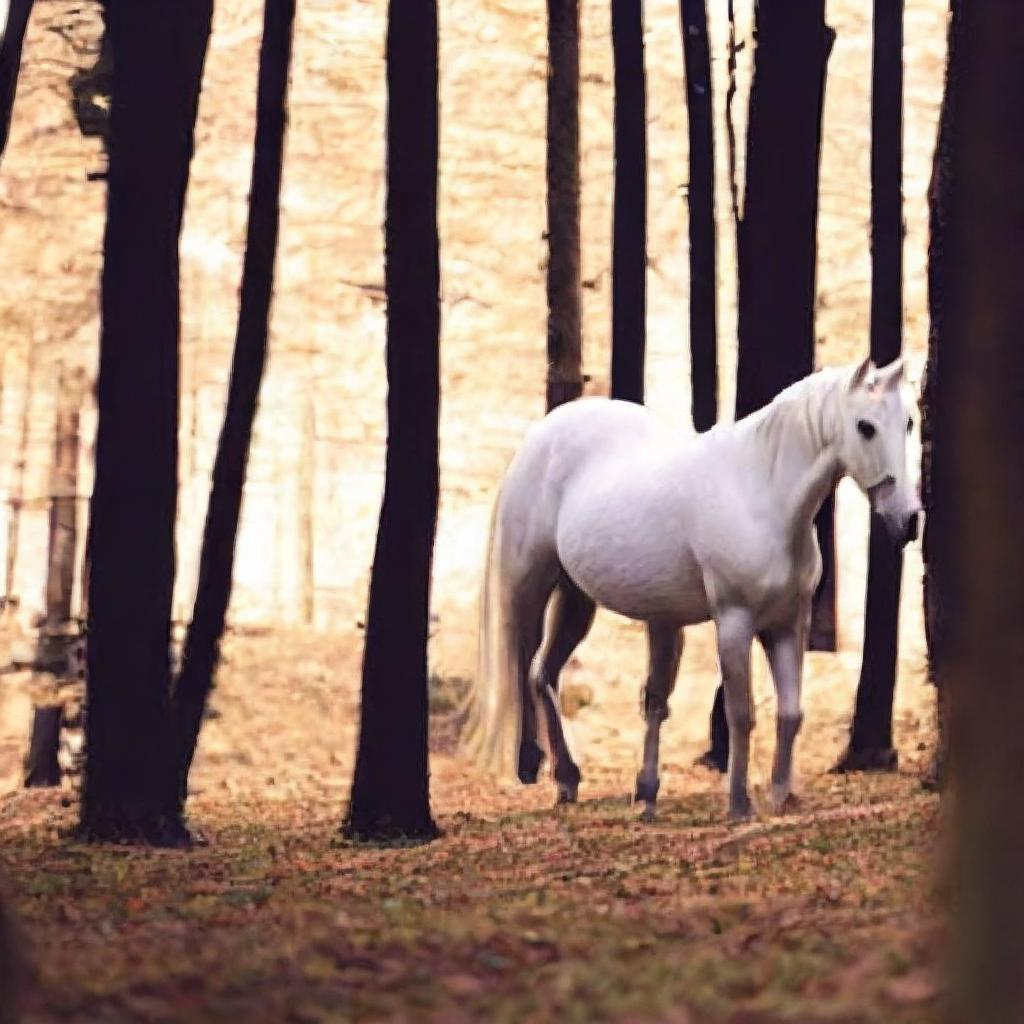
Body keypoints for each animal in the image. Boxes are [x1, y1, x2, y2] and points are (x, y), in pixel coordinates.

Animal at [464, 356, 921, 819]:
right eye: (865, 426)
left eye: (909, 422)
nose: (907, 520)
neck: (760, 496)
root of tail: (542, 432)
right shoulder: (734, 623)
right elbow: (741, 713)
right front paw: (740, 805)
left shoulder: (788, 625)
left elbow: (790, 713)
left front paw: (782, 796)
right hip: (531, 587)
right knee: (527, 665)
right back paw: (543, 768)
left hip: (578, 599)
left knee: (547, 675)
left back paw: (581, 781)